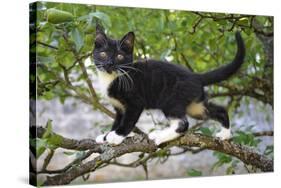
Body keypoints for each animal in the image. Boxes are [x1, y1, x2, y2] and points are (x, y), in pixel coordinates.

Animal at [93, 24, 243, 145]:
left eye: (119, 56)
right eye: (103, 54)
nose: (109, 64)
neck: (113, 77)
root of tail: (195, 76)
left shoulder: (135, 103)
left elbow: (128, 121)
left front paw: (116, 136)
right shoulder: (119, 108)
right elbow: (117, 120)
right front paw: (106, 136)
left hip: (171, 100)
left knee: (183, 124)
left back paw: (159, 136)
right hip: (195, 105)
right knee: (218, 110)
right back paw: (225, 134)